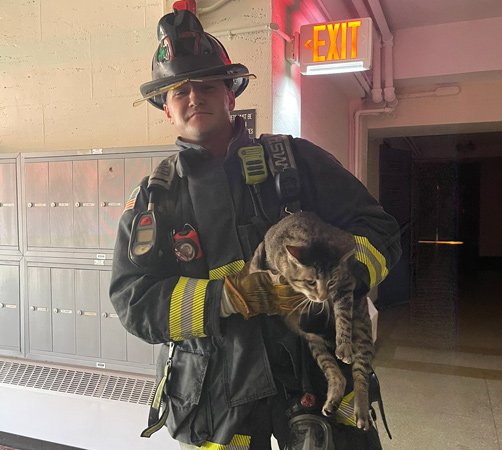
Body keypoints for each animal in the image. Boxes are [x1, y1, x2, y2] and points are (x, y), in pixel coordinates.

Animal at [250, 211, 372, 428]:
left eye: (331, 282)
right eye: (311, 282)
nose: (323, 297)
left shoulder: (346, 284)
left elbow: (343, 316)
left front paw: (343, 345)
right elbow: (267, 276)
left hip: (362, 333)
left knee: (360, 376)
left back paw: (362, 411)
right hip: (314, 345)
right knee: (337, 375)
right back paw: (331, 402)